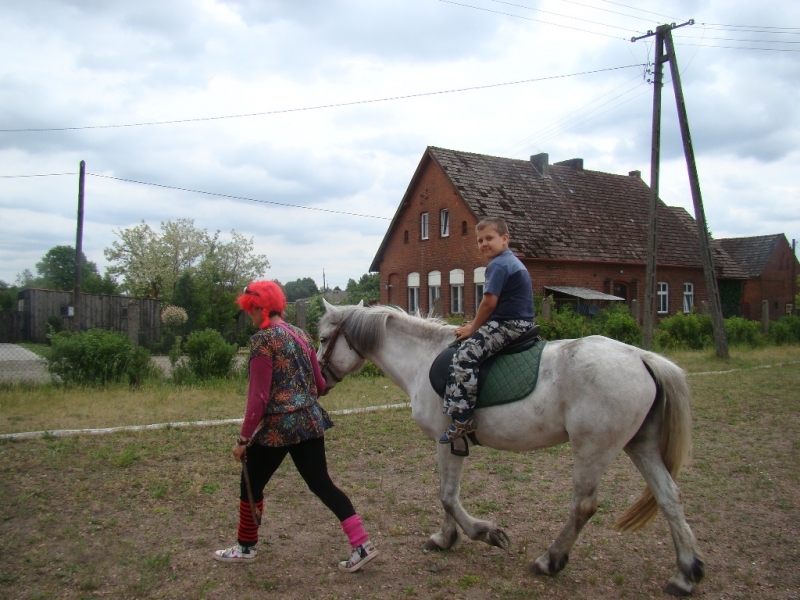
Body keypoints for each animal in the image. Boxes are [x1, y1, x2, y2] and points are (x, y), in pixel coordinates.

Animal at [318, 302, 708, 596]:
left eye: (322, 338)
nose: (319, 381)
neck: (423, 358)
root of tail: (642, 358)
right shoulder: (452, 444)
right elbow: (446, 495)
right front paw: (445, 538)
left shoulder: (448, 437)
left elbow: (447, 496)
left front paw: (486, 534)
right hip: (640, 446)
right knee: (669, 497)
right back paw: (684, 574)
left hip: (592, 450)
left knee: (583, 507)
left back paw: (549, 561)